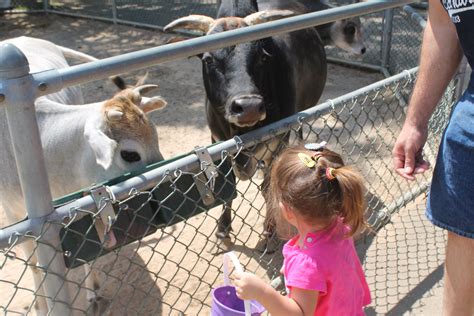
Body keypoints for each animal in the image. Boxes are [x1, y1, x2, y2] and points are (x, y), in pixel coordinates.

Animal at [0, 36, 168, 314]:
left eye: (156, 139)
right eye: (130, 154)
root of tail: (23, 38)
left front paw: (92, 293)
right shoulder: (16, 217)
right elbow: (35, 267)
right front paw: (40, 306)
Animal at [165, 0, 328, 248]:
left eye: (262, 57)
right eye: (208, 59)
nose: (249, 106)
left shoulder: (277, 141)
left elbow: (269, 187)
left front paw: (270, 230)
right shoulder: (218, 144)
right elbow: (227, 188)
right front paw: (222, 230)